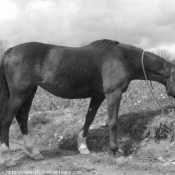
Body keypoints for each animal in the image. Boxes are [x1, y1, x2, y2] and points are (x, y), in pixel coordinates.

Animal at [1, 39, 175, 167]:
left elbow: (89, 119)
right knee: (7, 120)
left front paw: (83, 146)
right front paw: (115, 151)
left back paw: (34, 152)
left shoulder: (98, 96)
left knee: (22, 118)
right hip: (19, 93)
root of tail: (11, 50)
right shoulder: (113, 94)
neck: (122, 58)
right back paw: (7, 158)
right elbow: (113, 122)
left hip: (30, 91)